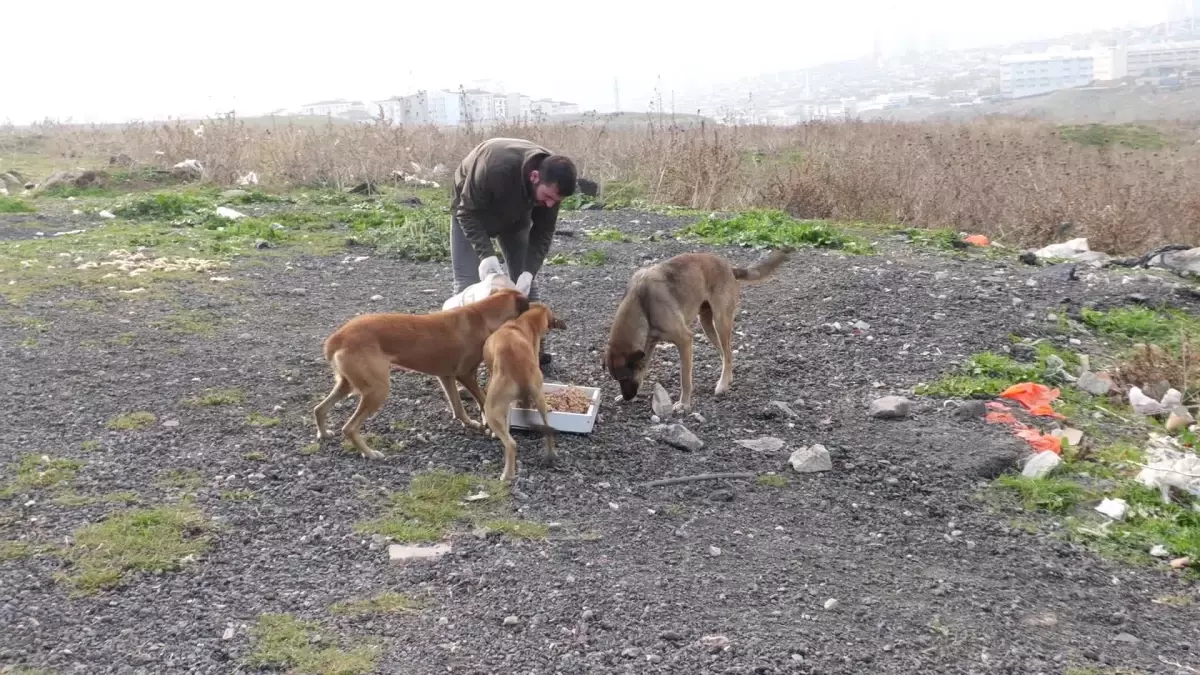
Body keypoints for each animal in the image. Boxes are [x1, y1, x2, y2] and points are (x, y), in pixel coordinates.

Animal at [314, 285, 530, 458]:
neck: (482, 315)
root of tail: (338, 337)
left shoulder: (446, 376)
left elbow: (458, 407)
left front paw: (470, 423)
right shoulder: (465, 374)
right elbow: (483, 400)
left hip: (348, 384)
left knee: (319, 409)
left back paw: (324, 434)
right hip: (377, 390)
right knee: (349, 428)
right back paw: (370, 453)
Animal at [482, 302, 566, 480]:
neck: (523, 322)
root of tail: (518, 367)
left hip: (491, 408)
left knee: (511, 444)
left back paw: (507, 475)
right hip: (539, 399)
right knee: (548, 429)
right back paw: (551, 454)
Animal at [604, 247, 792, 410]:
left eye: (625, 377)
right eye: (616, 379)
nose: (627, 397)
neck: (641, 303)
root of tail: (729, 268)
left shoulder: (684, 340)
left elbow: (685, 379)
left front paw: (684, 404)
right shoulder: (648, 345)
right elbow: (643, 369)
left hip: (721, 322)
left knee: (728, 353)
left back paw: (722, 384)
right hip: (707, 325)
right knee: (726, 355)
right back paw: (727, 379)